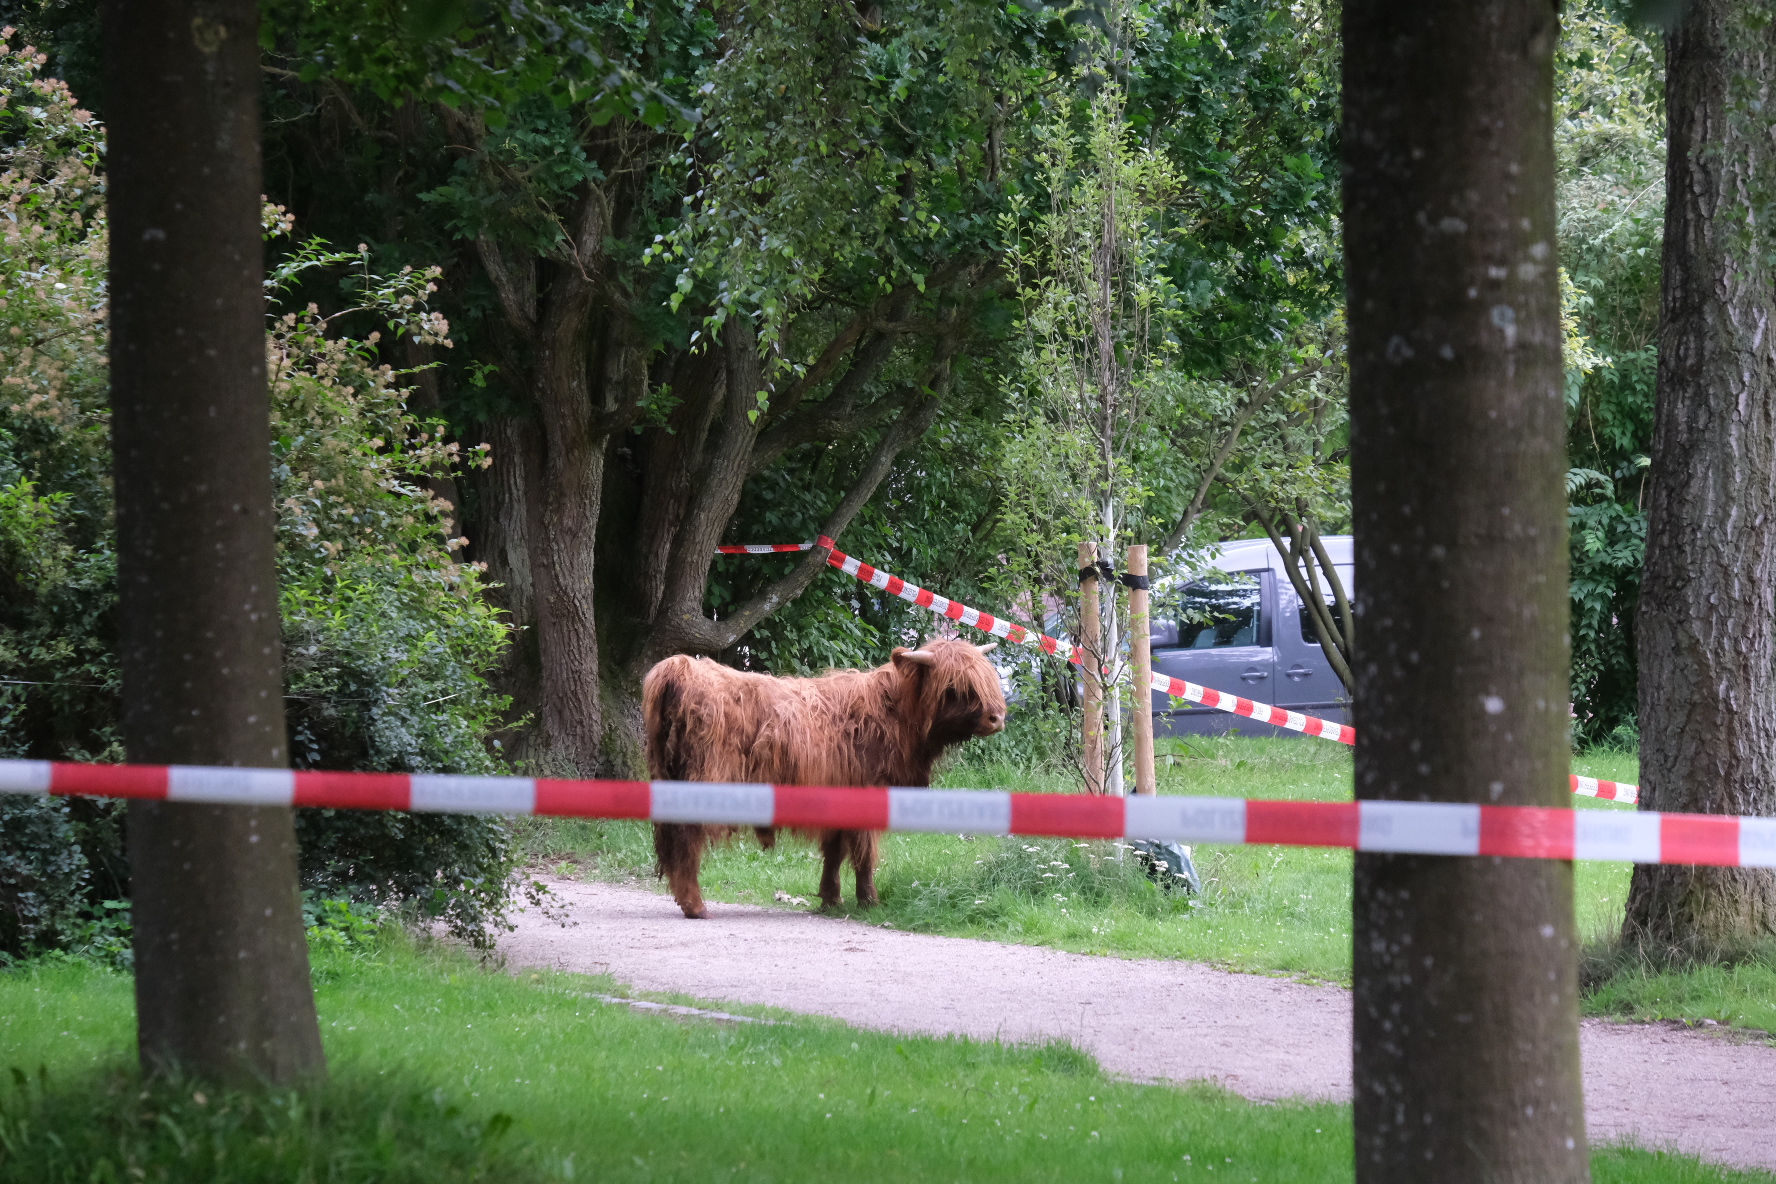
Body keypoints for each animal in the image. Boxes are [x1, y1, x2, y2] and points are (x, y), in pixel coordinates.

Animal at [642, 639, 1008, 915]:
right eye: (955, 687)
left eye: (986, 679)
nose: (997, 717)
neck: (895, 716)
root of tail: (680, 668)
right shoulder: (865, 795)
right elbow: (864, 854)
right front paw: (869, 900)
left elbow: (834, 851)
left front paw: (831, 898)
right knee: (686, 839)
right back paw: (695, 906)